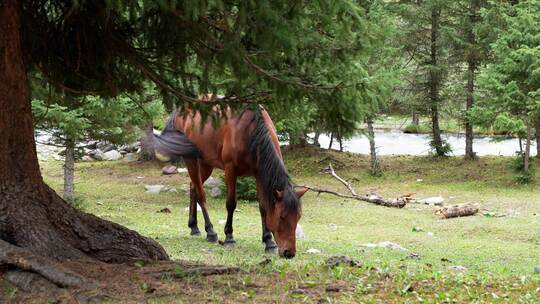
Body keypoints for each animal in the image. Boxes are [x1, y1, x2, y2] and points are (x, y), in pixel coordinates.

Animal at [154, 98, 308, 258]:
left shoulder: (259, 174)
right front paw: (229, 237)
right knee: (201, 194)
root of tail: (180, 110)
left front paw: (268, 241)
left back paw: (194, 227)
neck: (250, 132)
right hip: (191, 159)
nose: (289, 252)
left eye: (298, 217)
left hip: (206, 164)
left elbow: (263, 207)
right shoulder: (230, 170)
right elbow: (231, 204)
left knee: (193, 188)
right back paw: (210, 231)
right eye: (282, 217)